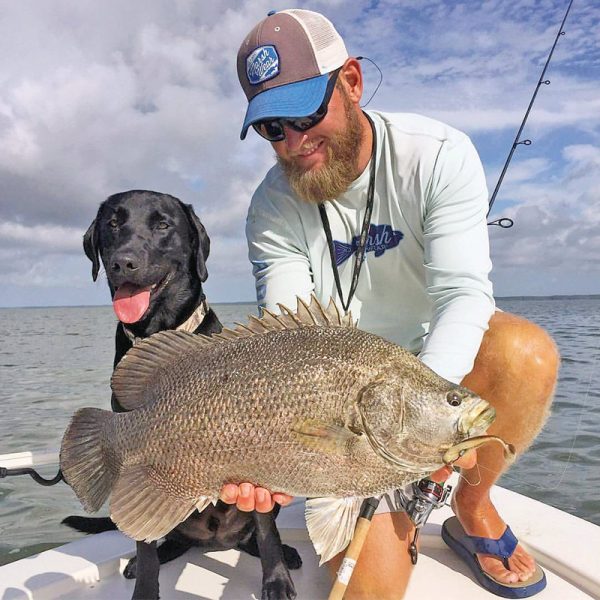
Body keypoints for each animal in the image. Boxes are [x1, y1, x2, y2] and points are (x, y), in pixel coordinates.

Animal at [63, 191, 300, 600]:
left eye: (163, 224)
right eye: (113, 223)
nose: (123, 261)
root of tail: (218, 541)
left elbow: (267, 531)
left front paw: (277, 582)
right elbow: (144, 545)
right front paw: (144, 587)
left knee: (256, 534)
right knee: (165, 538)